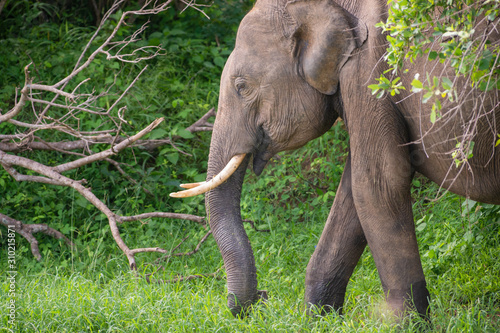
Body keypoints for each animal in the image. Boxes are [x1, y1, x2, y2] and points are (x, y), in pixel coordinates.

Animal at [170, 0, 498, 318]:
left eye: (242, 87)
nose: (261, 298)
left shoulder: (369, 72)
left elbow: (378, 182)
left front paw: (404, 323)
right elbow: (354, 191)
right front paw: (321, 318)